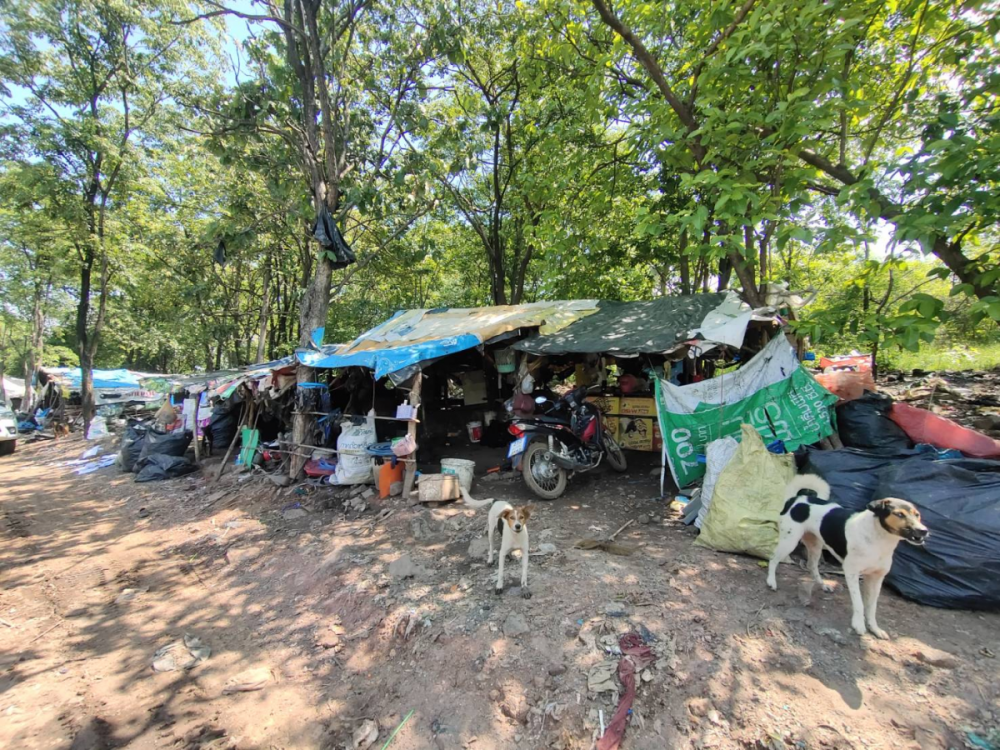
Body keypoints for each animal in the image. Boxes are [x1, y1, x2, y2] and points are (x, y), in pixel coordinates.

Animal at [764, 476, 928, 640]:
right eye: (899, 514)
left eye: (917, 515)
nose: (923, 531)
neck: (879, 539)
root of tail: (797, 498)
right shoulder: (851, 573)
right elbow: (859, 603)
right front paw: (859, 625)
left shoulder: (876, 578)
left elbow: (872, 607)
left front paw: (874, 628)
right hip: (789, 541)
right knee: (773, 559)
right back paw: (771, 581)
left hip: (815, 545)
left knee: (812, 565)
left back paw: (822, 584)